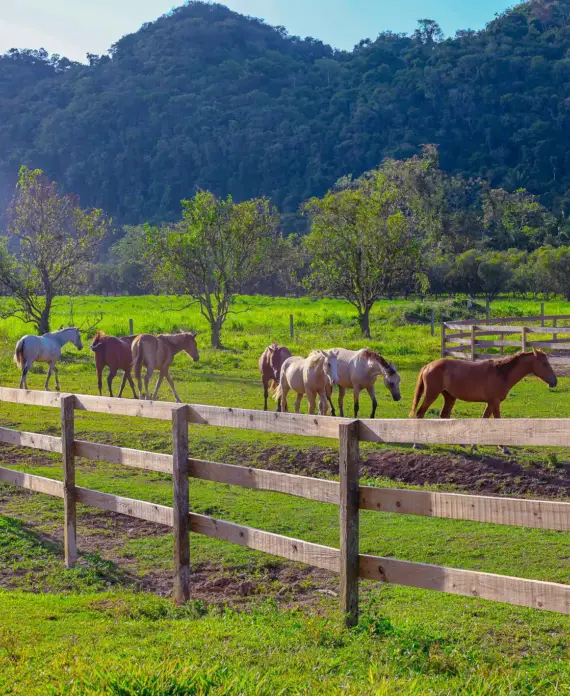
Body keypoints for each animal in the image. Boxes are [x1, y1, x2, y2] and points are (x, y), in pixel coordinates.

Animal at [410, 349, 557, 421]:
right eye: (545, 364)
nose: (554, 381)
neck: (501, 373)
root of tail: (428, 366)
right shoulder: (495, 402)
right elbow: (496, 419)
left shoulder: (491, 403)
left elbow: (484, 418)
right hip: (431, 395)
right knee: (420, 413)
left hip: (450, 397)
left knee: (444, 415)